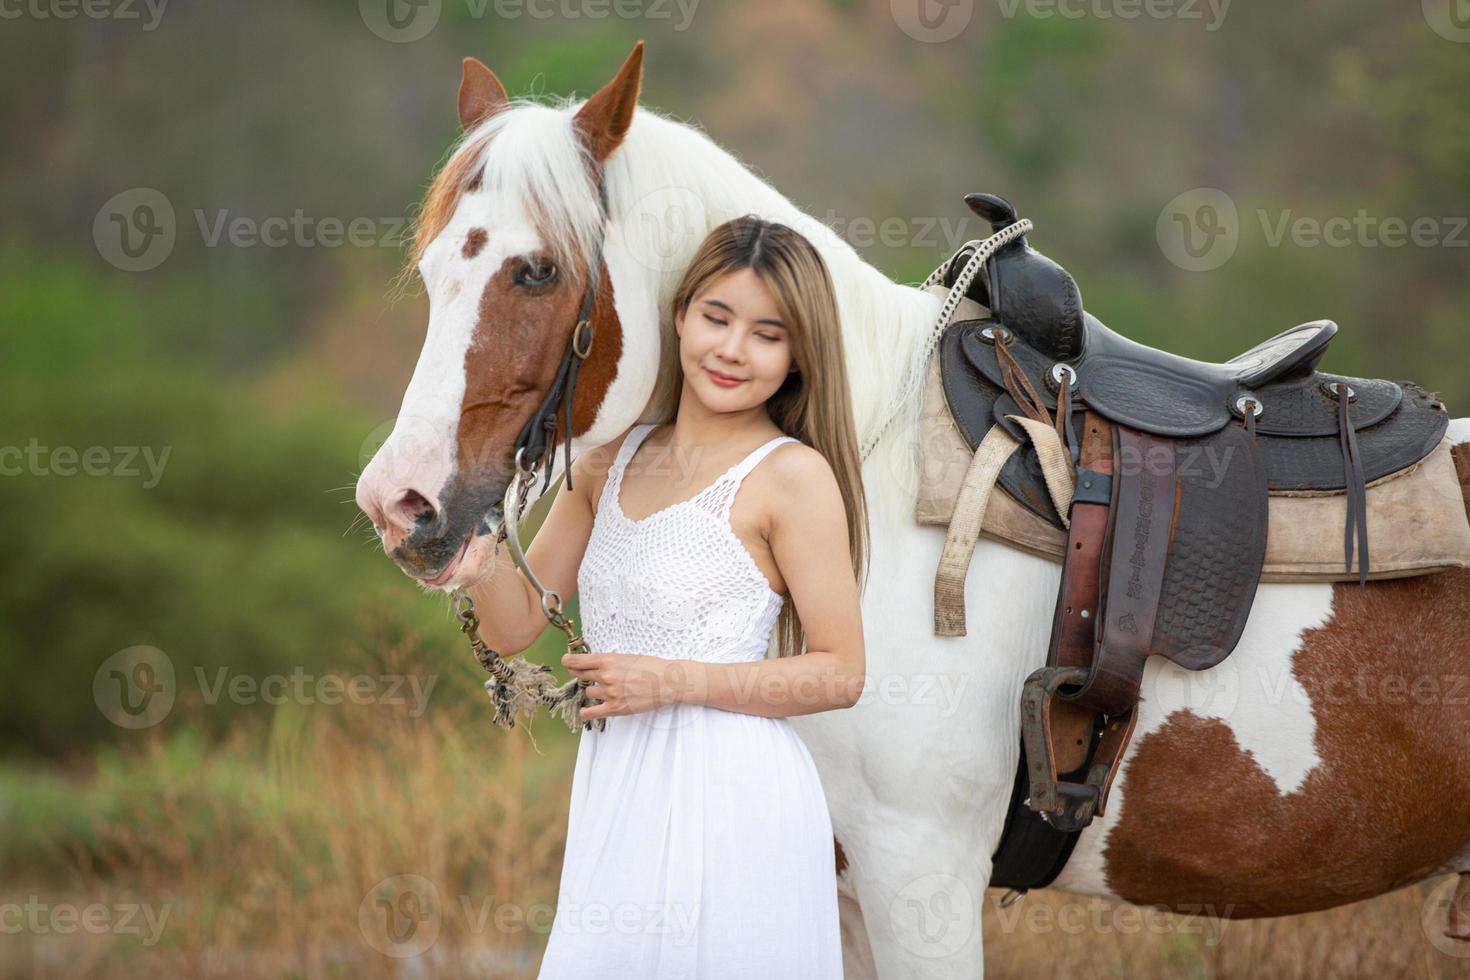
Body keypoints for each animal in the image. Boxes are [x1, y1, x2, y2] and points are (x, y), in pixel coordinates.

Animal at [355, 42, 1470, 975]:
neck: (870, 475)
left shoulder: (920, 877)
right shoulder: (844, 883)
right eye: (433, 269)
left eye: (536, 270)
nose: (400, 504)